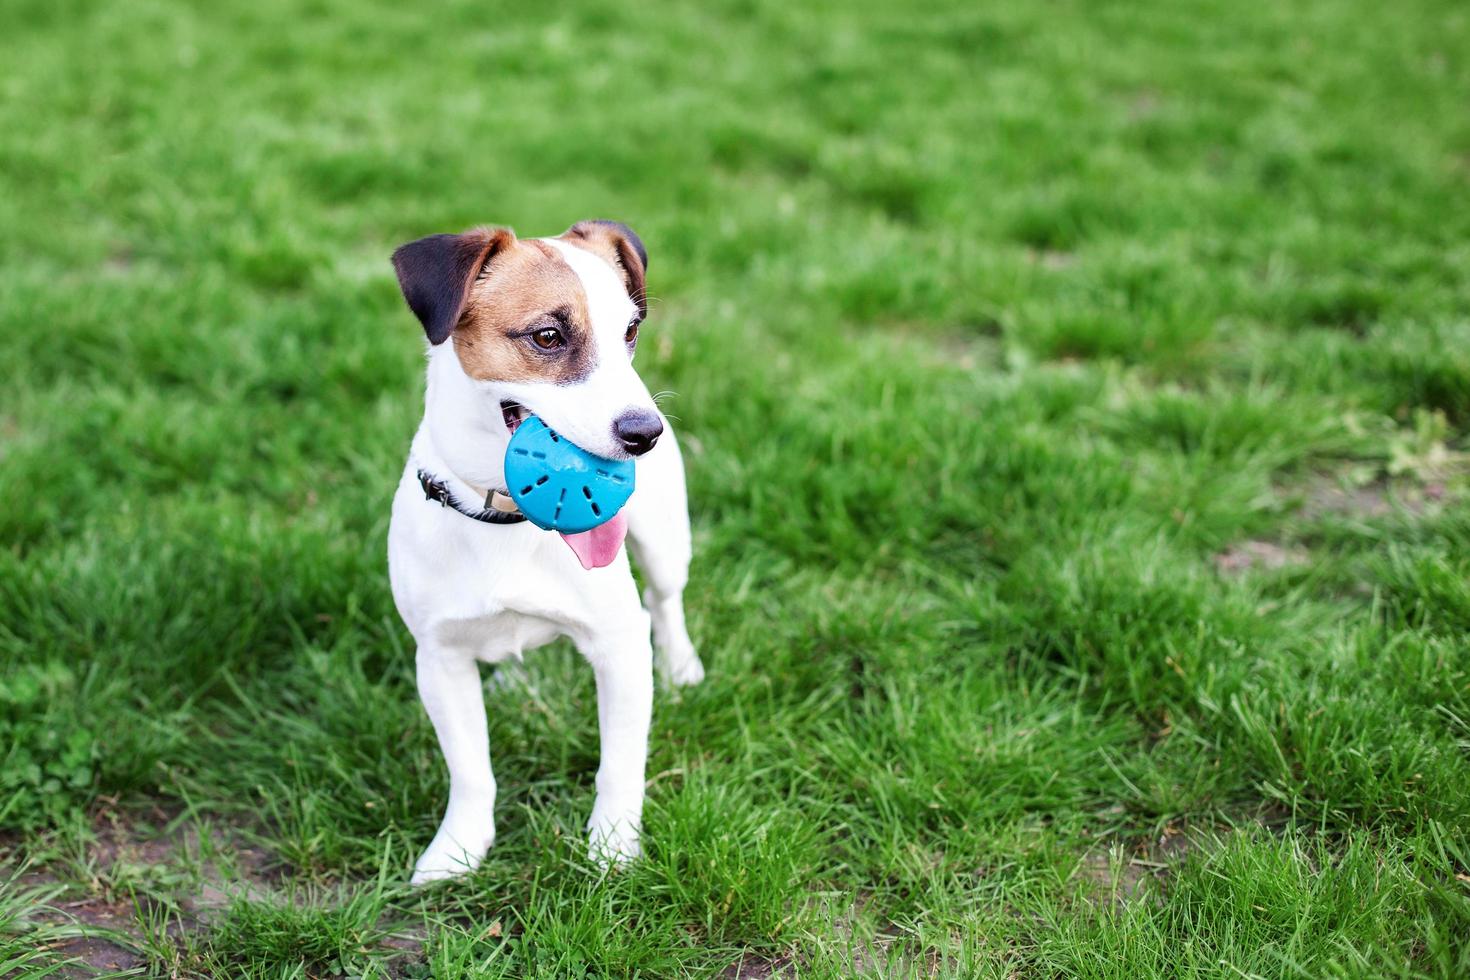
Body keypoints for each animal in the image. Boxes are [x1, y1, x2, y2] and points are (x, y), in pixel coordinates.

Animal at [385, 221, 705, 887]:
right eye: (548, 336)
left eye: (631, 331)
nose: (646, 433)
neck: (507, 520)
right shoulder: (439, 658)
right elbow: (471, 771)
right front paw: (457, 850)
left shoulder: (619, 649)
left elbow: (620, 766)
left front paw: (612, 848)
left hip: (665, 543)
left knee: (667, 602)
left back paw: (683, 666)